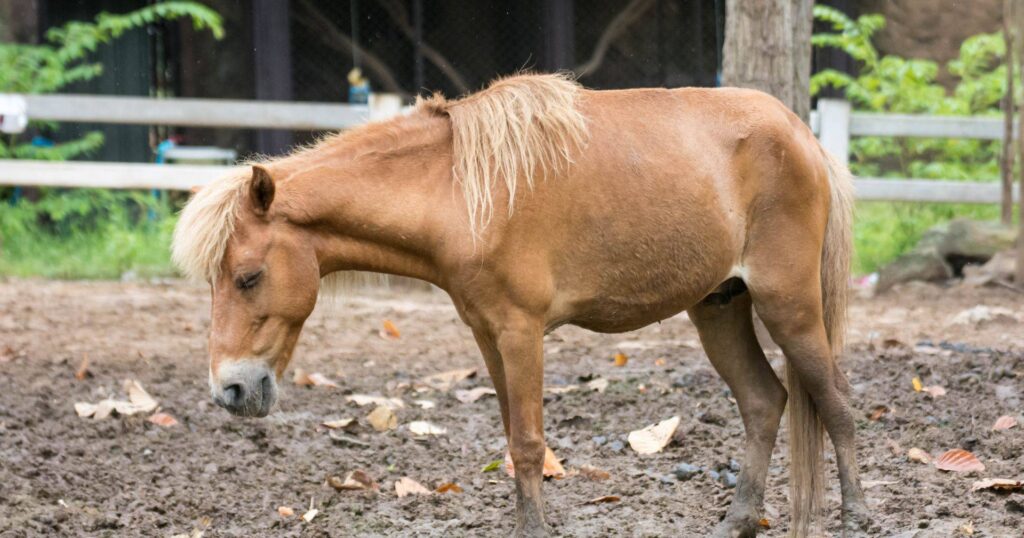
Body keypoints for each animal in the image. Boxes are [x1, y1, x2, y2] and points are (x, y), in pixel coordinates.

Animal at [172, 72, 868, 536]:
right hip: (719, 308)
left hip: (788, 304)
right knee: (764, 401)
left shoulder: (520, 332)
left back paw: (856, 513)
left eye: (248, 276)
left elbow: (530, 443)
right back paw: (738, 521)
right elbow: (511, 438)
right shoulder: (486, 335)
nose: (230, 390)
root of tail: (801, 136)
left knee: (834, 399)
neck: (455, 191)